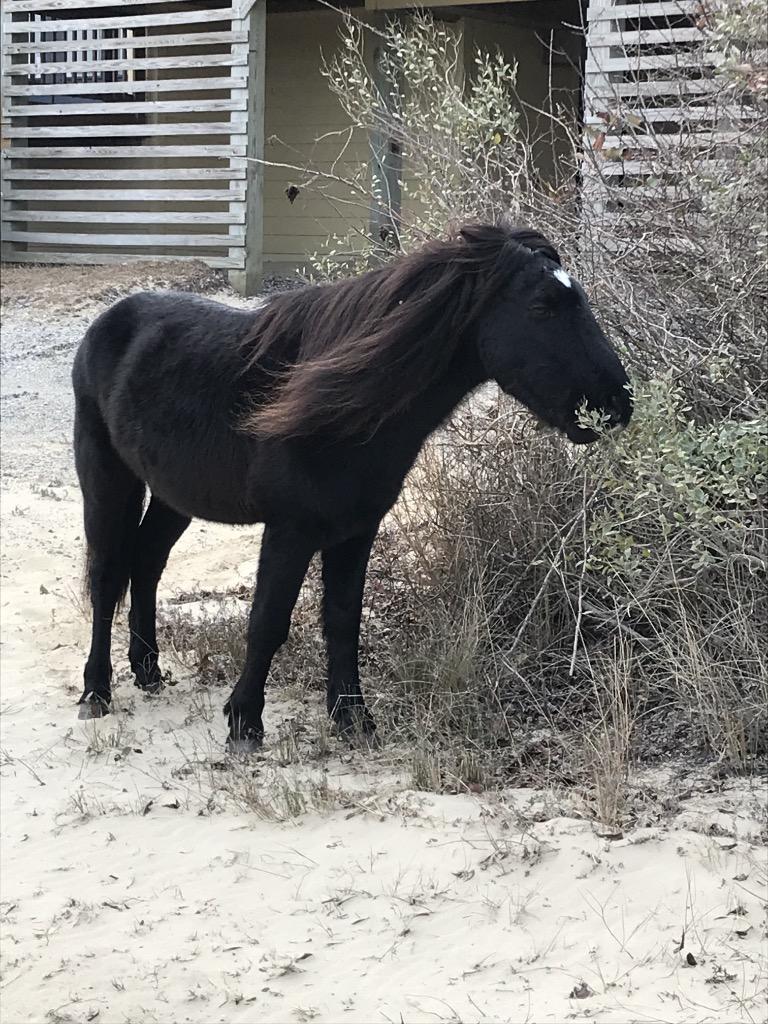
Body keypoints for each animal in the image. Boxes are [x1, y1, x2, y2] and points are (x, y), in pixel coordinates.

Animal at [72, 222, 632, 752]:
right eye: (541, 307)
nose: (616, 402)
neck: (339, 412)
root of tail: (108, 321)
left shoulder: (356, 531)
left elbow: (343, 622)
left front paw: (354, 719)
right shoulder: (290, 530)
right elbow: (268, 622)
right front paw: (245, 723)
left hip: (174, 495)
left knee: (146, 563)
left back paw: (148, 671)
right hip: (107, 480)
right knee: (107, 576)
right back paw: (96, 691)